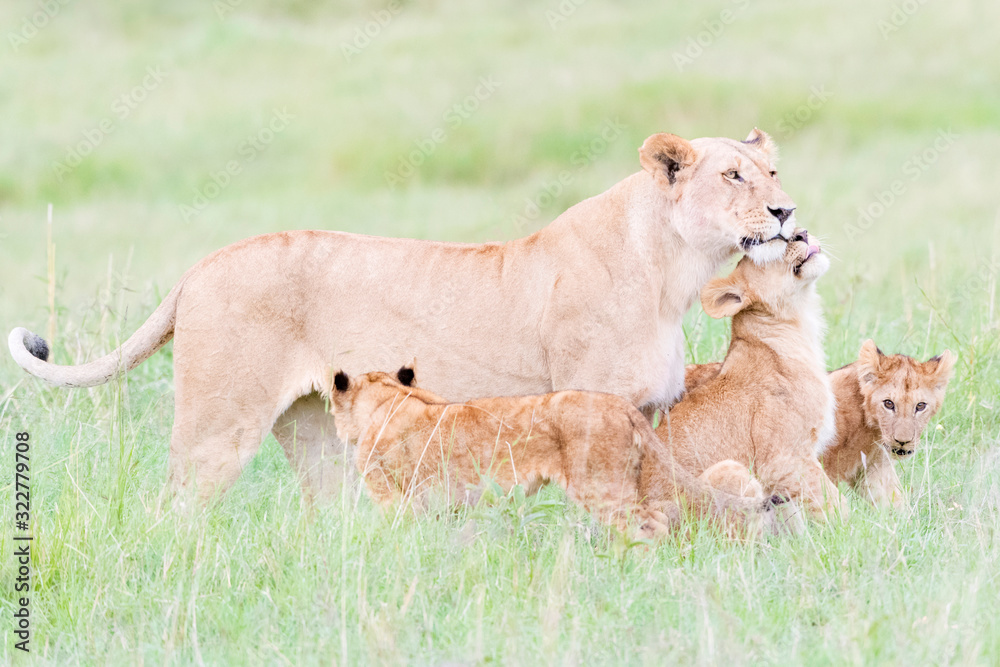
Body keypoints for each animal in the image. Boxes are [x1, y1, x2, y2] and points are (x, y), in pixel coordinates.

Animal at [9, 129, 798, 503]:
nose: (787, 212)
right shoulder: (591, 406)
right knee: (175, 509)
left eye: (772, 171)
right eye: (733, 176)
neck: (672, 272)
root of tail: (198, 267)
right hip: (217, 422)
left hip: (313, 430)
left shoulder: (652, 415)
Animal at [654, 229, 849, 520]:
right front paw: (859, 526)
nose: (802, 234)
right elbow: (833, 501)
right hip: (729, 472)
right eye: (775, 246)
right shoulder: (783, 459)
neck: (799, 325)